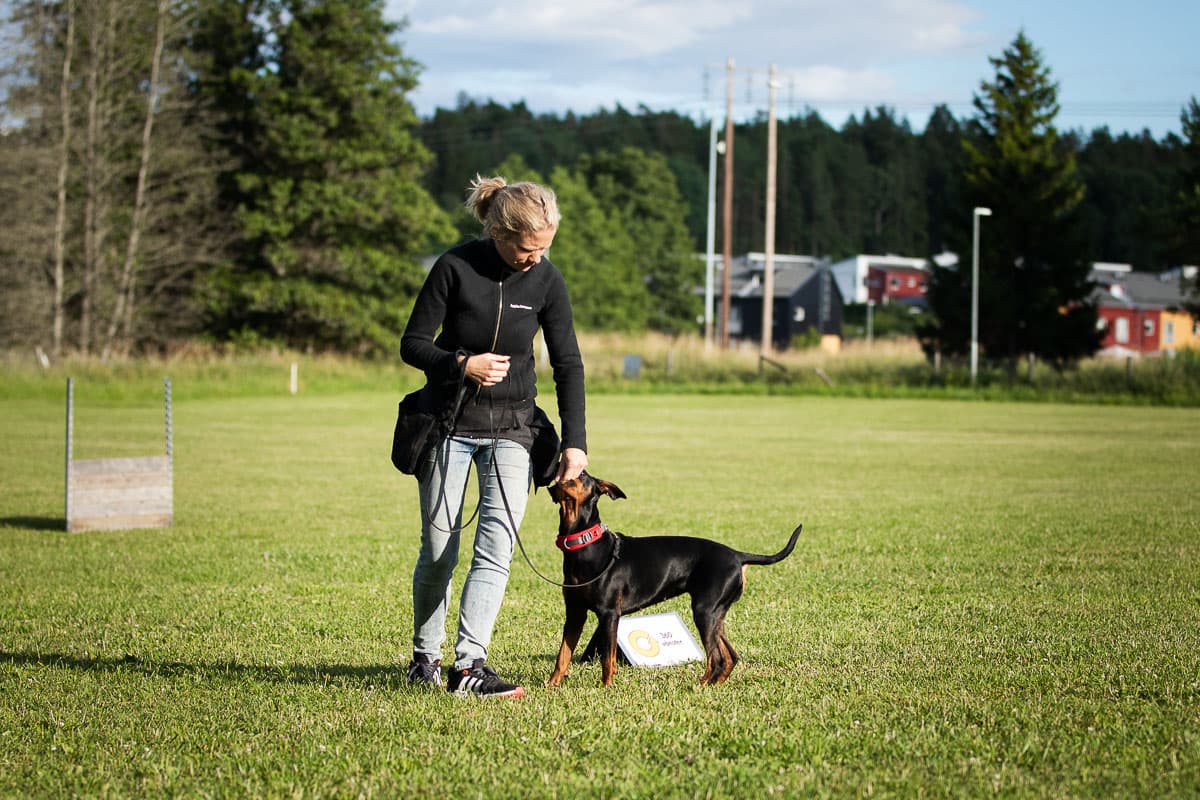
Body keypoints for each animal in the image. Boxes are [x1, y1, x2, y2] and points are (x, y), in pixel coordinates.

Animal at [549, 474, 801, 690]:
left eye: (581, 476)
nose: (557, 479)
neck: (584, 545)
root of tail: (738, 555)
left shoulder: (609, 613)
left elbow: (607, 659)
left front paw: (607, 688)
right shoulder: (575, 613)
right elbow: (563, 655)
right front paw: (551, 686)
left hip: (704, 611)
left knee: (716, 658)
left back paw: (701, 686)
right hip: (716, 615)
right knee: (730, 657)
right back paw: (713, 686)